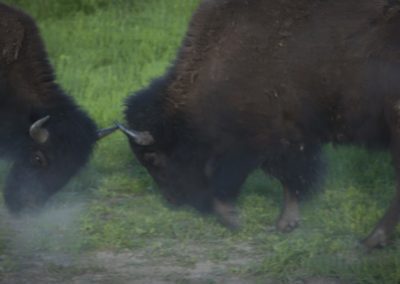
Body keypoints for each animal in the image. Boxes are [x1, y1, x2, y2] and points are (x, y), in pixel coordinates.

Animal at [118, 0, 400, 248]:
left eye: (153, 157)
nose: (173, 199)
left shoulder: (255, 143)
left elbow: (233, 180)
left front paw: (234, 220)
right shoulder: (291, 139)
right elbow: (290, 181)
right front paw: (286, 223)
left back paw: (372, 240)